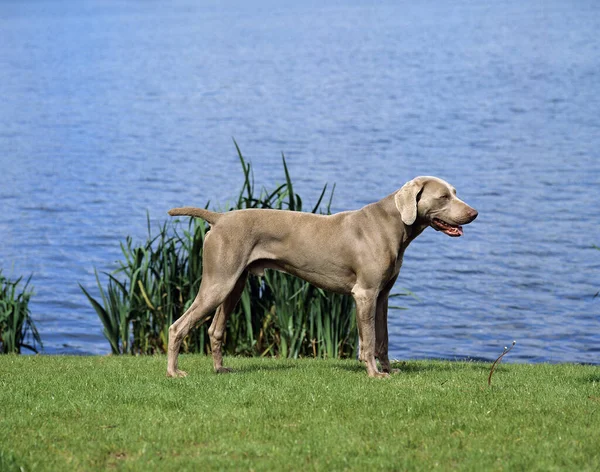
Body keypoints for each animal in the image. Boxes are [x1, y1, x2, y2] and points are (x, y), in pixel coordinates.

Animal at [166, 175, 476, 378]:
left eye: (455, 192)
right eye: (443, 197)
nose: (474, 213)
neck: (393, 224)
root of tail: (218, 218)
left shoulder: (383, 295)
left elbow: (384, 339)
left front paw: (390, 370)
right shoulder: (365, 294)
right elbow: (369, 340)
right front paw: (375, 374)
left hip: (234, 284)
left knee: (214, 329)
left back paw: (220, 369)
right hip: (218, 282)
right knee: (177, 326)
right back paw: (173, 372)